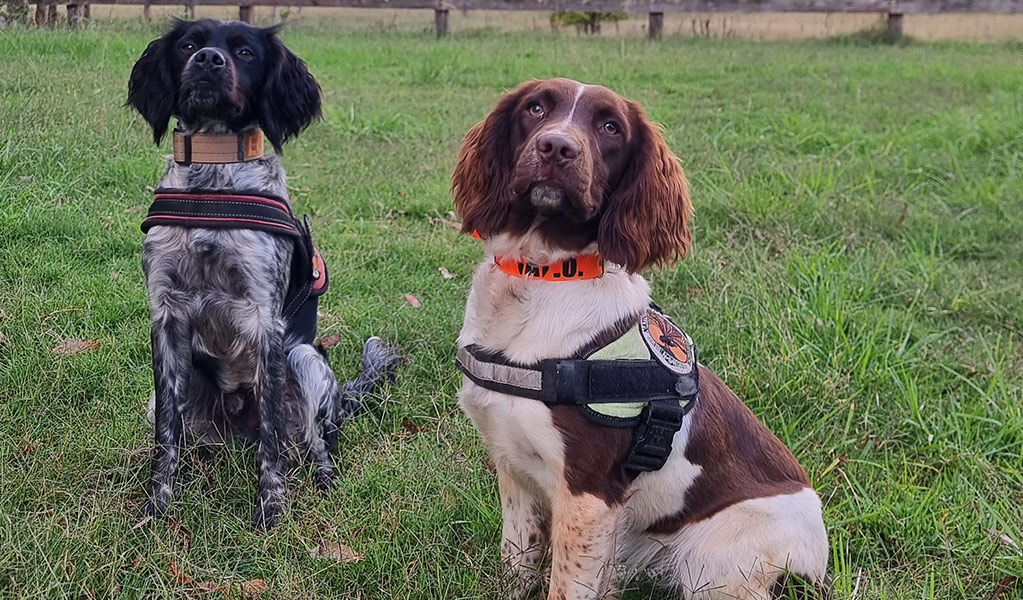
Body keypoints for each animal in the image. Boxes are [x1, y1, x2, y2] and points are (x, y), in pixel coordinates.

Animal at [126, 17, 394, 531]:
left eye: (246, 52)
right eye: (188, 45)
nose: (208, 60)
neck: (212, 177)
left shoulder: (264, 316)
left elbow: (273, 434)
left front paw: (271, 506)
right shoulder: (164, 314)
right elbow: (167, 435)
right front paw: (157, 505)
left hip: (304, 360)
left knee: (314, 439)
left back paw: (325, 477)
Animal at [452, 77, 826, 596]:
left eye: (611, 127)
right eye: (535, 108)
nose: (556, 147)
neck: (542, 277)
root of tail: (821, 566)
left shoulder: (588, 490)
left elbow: (564, 584)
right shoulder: (513, 467)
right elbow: (517, 556)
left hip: (717, 563)